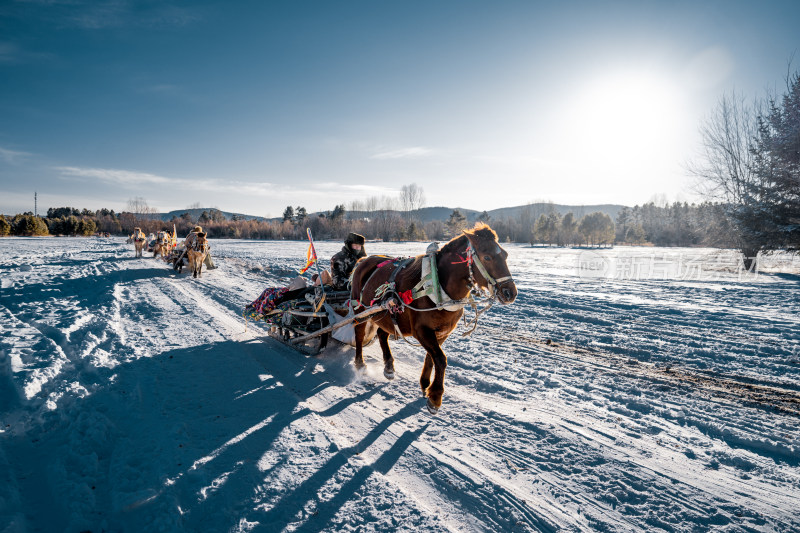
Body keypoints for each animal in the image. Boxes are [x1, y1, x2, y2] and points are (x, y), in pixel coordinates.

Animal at [352, 222, 520, 414]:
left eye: (505, 254)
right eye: (487, 257)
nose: (510, 292)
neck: (437, 287)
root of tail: (363, 261)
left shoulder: (442, 332)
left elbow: (431, 358)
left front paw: (425, 384)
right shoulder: (422, 331)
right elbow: (440, 359)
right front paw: (435, 397)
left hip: (384, 314)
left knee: (382, 335)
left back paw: (388, 366)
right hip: (360, 309)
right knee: (359, 334)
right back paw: (360, 363)